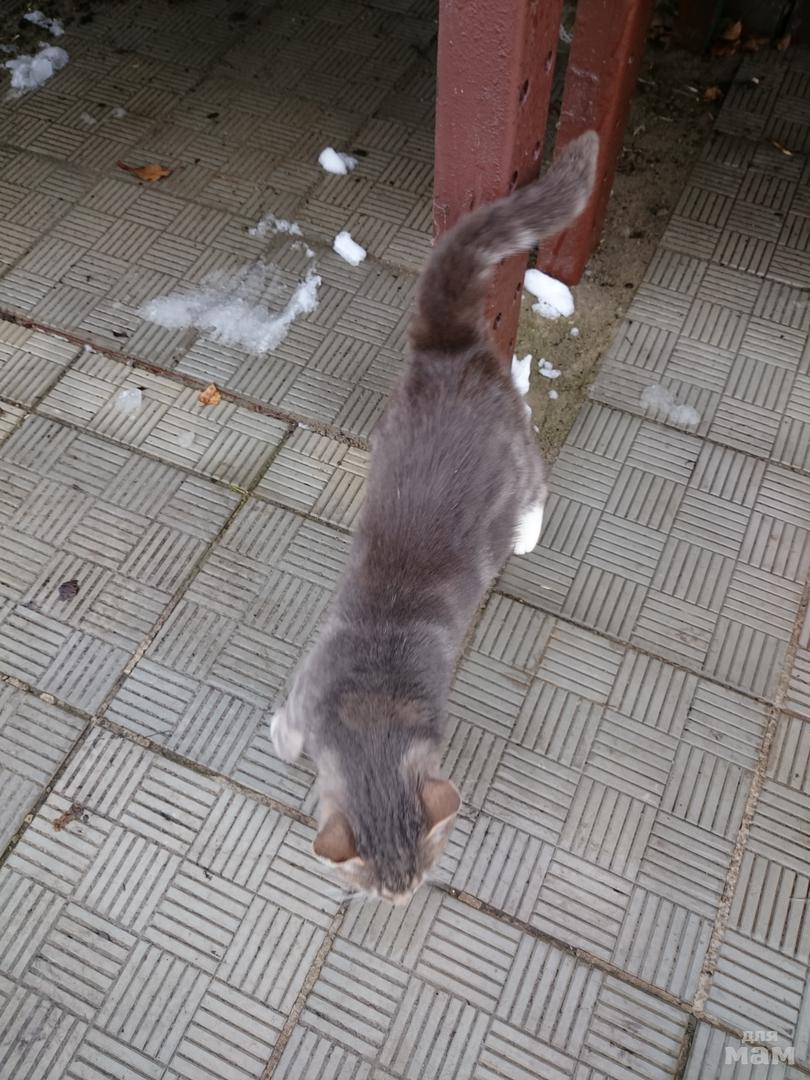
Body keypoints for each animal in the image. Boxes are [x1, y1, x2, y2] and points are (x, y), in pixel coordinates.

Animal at [271, 131, 599, 903]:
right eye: (381, 887)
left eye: (413, 881)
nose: (398, 905)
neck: (374, 704)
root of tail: (454, 349)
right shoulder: (312, 679)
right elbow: (294, 724)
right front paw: (282, 737)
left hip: (508, 450)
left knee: (538, 479)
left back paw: (526, 532)